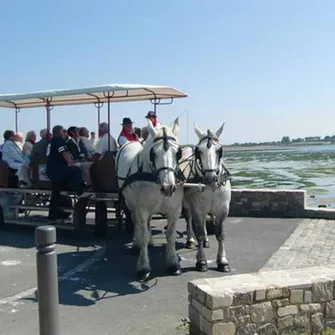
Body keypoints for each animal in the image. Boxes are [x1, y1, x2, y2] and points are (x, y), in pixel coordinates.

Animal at [115, 118, 184, 280]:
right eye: (153, 153)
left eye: (178, 153)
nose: (168, 188)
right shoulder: (141, 209)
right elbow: (144, 235)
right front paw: (143, 268)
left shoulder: (175, 210)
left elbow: (170, 235)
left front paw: (173, 264)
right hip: (131, 204)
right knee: (136, 222)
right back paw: (136, 245)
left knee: (148, 222)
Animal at [181, 123, 231, 272]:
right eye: (199, 151)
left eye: (219, 150)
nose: (210, 178)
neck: (211, 187)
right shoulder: (197, 209)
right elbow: (200, 234)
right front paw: (201, 261)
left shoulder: (223, 210)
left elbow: (220, 234)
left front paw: (222, 261)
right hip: (187, 205)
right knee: (189, 220)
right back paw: (190, 241)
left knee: (203, 223)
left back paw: (206, 242)